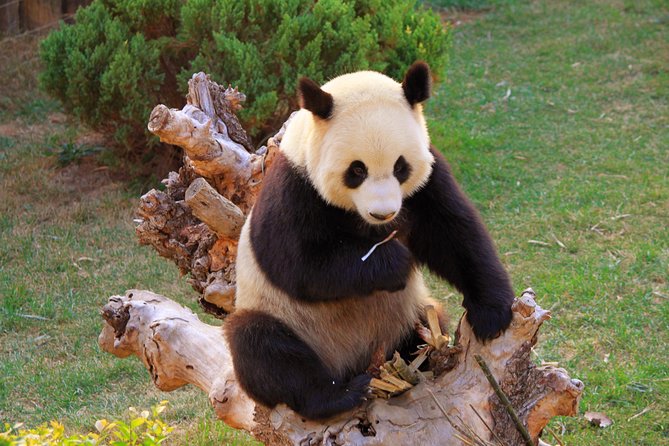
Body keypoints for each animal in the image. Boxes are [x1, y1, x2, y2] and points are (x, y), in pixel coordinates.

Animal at [224, 62, 515, 421]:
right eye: (356, 170)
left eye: (401, 167)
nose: (383, 213)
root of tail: (354, 363)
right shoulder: (294, 188)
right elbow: (298, 264)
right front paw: (395, 263)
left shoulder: (428, 181)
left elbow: (454, 234)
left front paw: (492, 313)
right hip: (284, 317)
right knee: (263, 348)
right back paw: (339, 395)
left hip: (407, 315)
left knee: (425, 322)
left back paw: (422, 355)